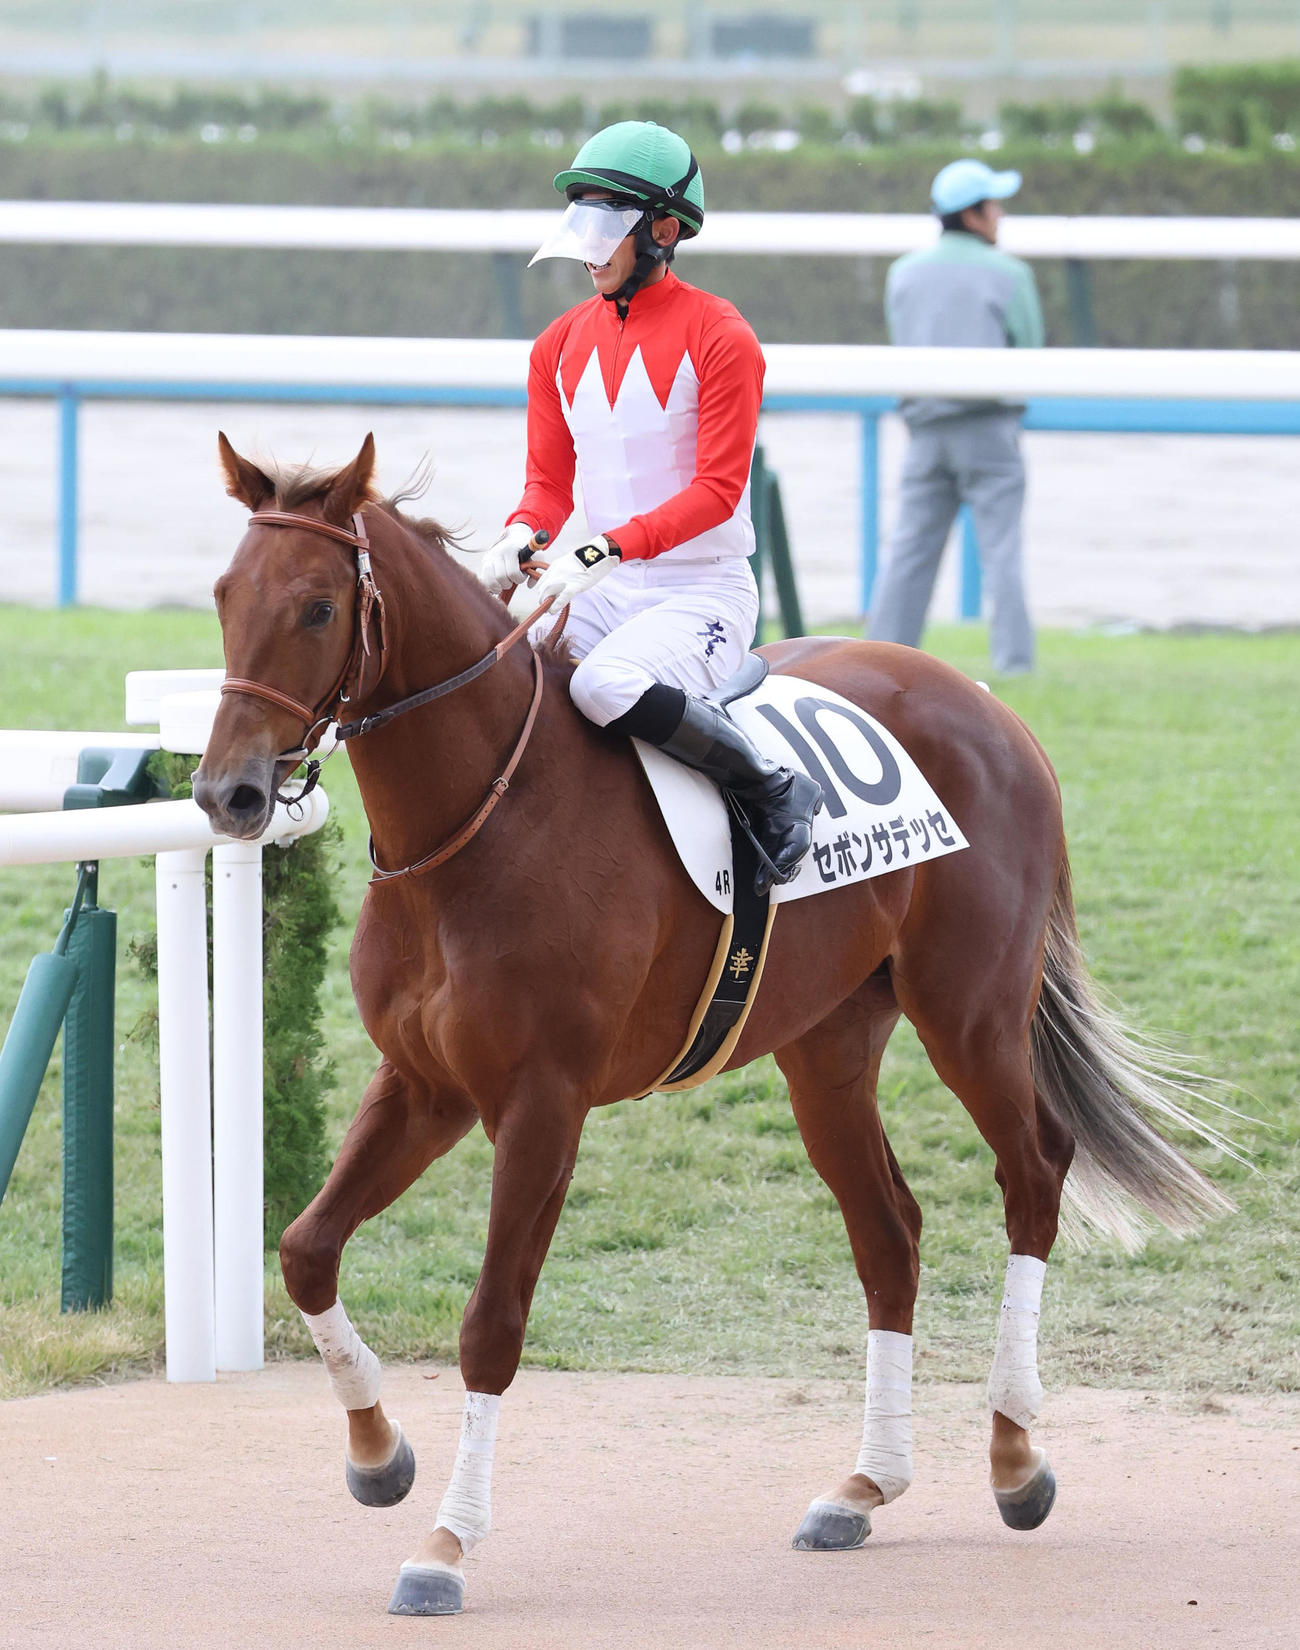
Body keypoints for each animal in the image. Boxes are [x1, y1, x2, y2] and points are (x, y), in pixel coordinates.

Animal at [194, 433, 1233, 1618]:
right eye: (225, 594)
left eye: (319, 607)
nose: (226, 794)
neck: (480, 816)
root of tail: (980, 701)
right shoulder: (426, 1086)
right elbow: (305, 1249)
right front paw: (378, 1455)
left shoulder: (542, 1106)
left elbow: (491, 1324)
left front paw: (446, 1545)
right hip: (826, 1049)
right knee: (890, 1232)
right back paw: (866, 1485)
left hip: (969, 1014)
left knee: (1034, 1171)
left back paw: (1014, 1457)